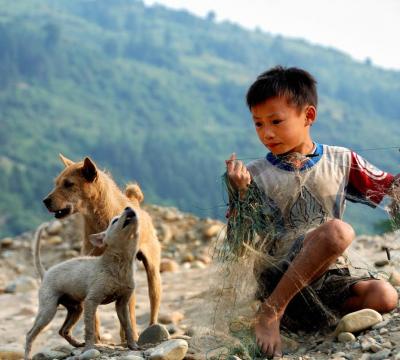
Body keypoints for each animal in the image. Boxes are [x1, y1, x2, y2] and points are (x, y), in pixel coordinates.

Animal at [43, 155, 161, 340]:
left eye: (68, 184)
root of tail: (136, 204)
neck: (100, 220)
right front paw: (95, 338)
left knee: (151, 303)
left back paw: (149, 329)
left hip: (153, 274)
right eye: (56, 183)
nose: (45, 201)